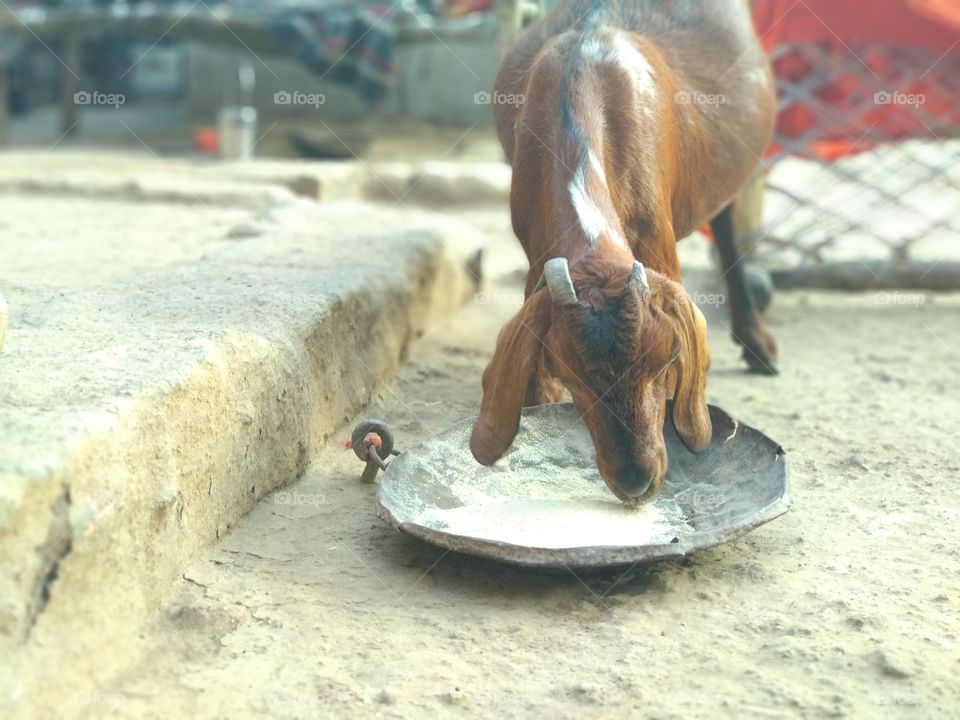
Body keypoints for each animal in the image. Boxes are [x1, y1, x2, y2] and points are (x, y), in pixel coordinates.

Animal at [470, 0, 777, 503]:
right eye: (570, 373)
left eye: (667, 360)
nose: (636, 482)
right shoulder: (537, 255)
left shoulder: (658, 248)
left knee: (728, 221)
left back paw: (757, 343)